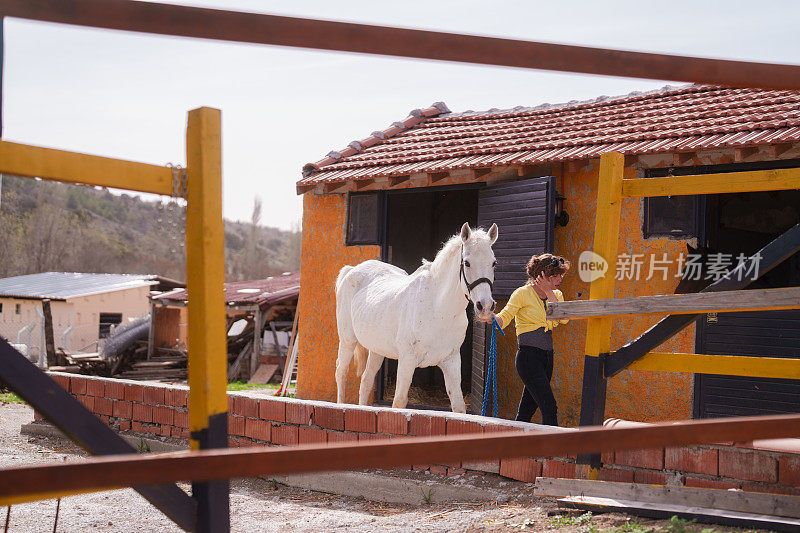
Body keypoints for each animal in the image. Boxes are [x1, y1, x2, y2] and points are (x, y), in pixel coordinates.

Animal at [334, 220, 496, 412]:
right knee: (341, 372)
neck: (438, 309)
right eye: (467, 263)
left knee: (366, 381)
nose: (485, 306)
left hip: (377, 349)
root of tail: (351, 270)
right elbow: (399, 401)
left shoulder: (451, 361)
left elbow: (458, 405)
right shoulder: (407, 360)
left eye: (494, 263)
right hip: (348, 339)